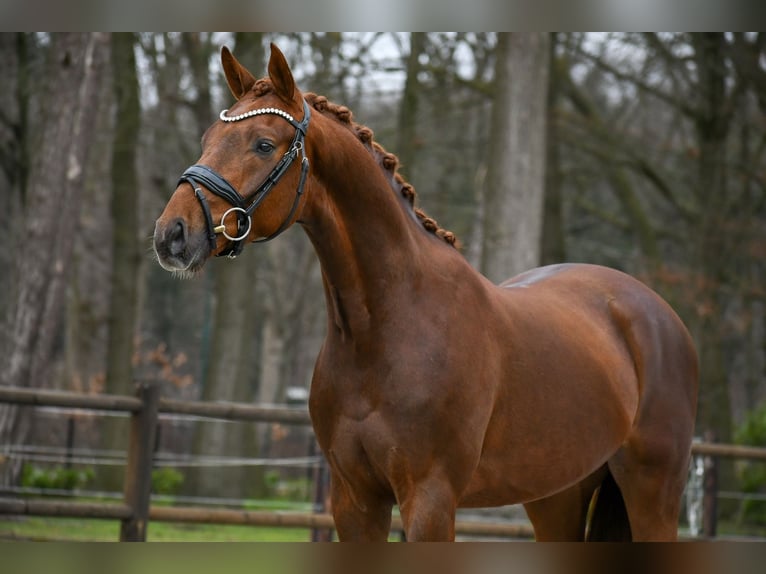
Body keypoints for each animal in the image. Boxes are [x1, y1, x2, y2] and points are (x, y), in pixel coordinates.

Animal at [153, 44, 698, 541]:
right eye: (207, 138)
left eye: (264, 144)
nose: (171, 234)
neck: (386, 326)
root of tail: (656, 314)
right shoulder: (354, 500)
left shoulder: (430, 499)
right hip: (557, 495)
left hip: (653, 493)